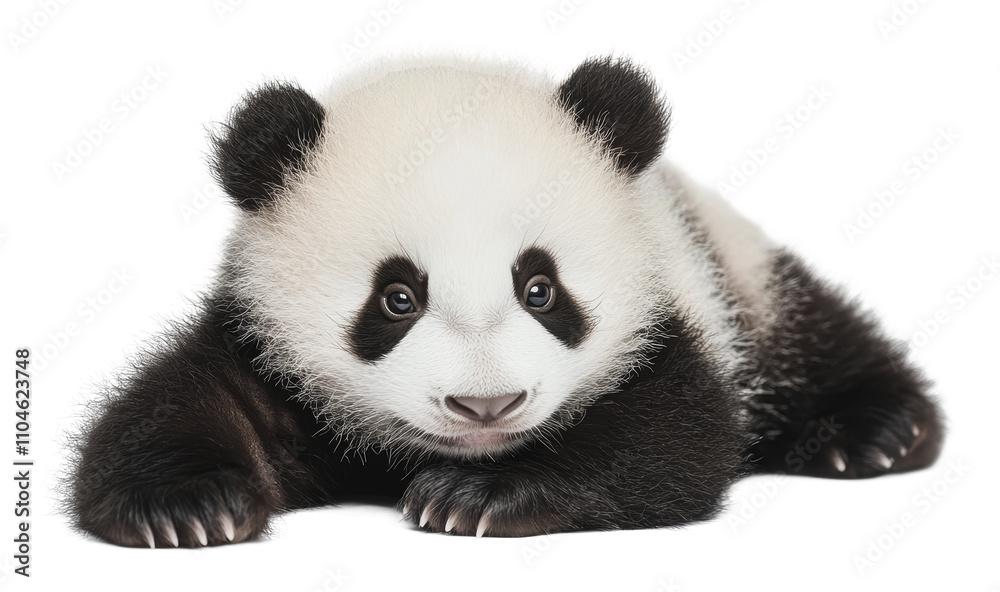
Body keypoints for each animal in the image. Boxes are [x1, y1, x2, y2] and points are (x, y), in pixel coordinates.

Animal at [69, 55, 943, 547]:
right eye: (396, 297)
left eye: (540, 288)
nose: (486, 406)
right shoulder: (263, 340)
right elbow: (182, 401)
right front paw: (185, 506)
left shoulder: (667, 307)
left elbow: (674, 435)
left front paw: (476, 499)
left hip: (734, 266)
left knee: (810, 331)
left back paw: (875, 432)